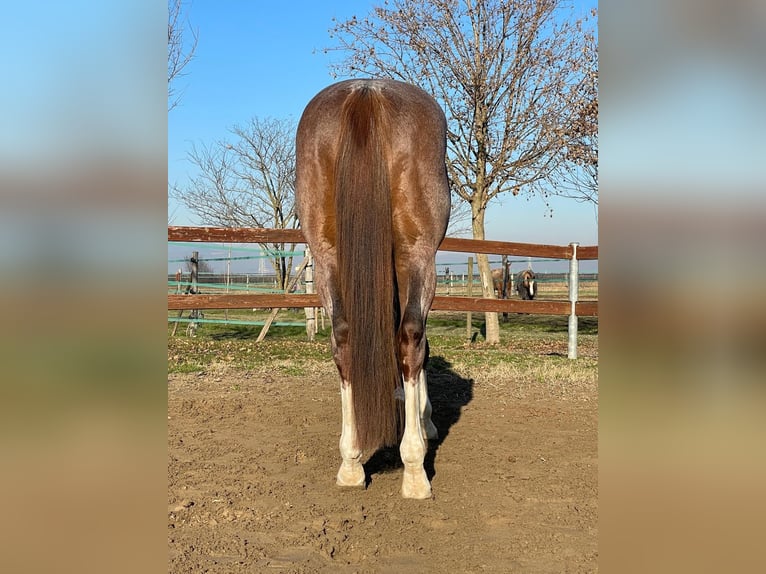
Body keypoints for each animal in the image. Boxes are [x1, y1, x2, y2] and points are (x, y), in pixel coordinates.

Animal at [294, 79, 450, 502]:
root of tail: (366, 92)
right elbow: (418, 345)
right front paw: (425, 421)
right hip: (418, 253)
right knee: (411, 337)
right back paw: (414, 471)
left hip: (326, 256)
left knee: (344, 339)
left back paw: (351, 464)